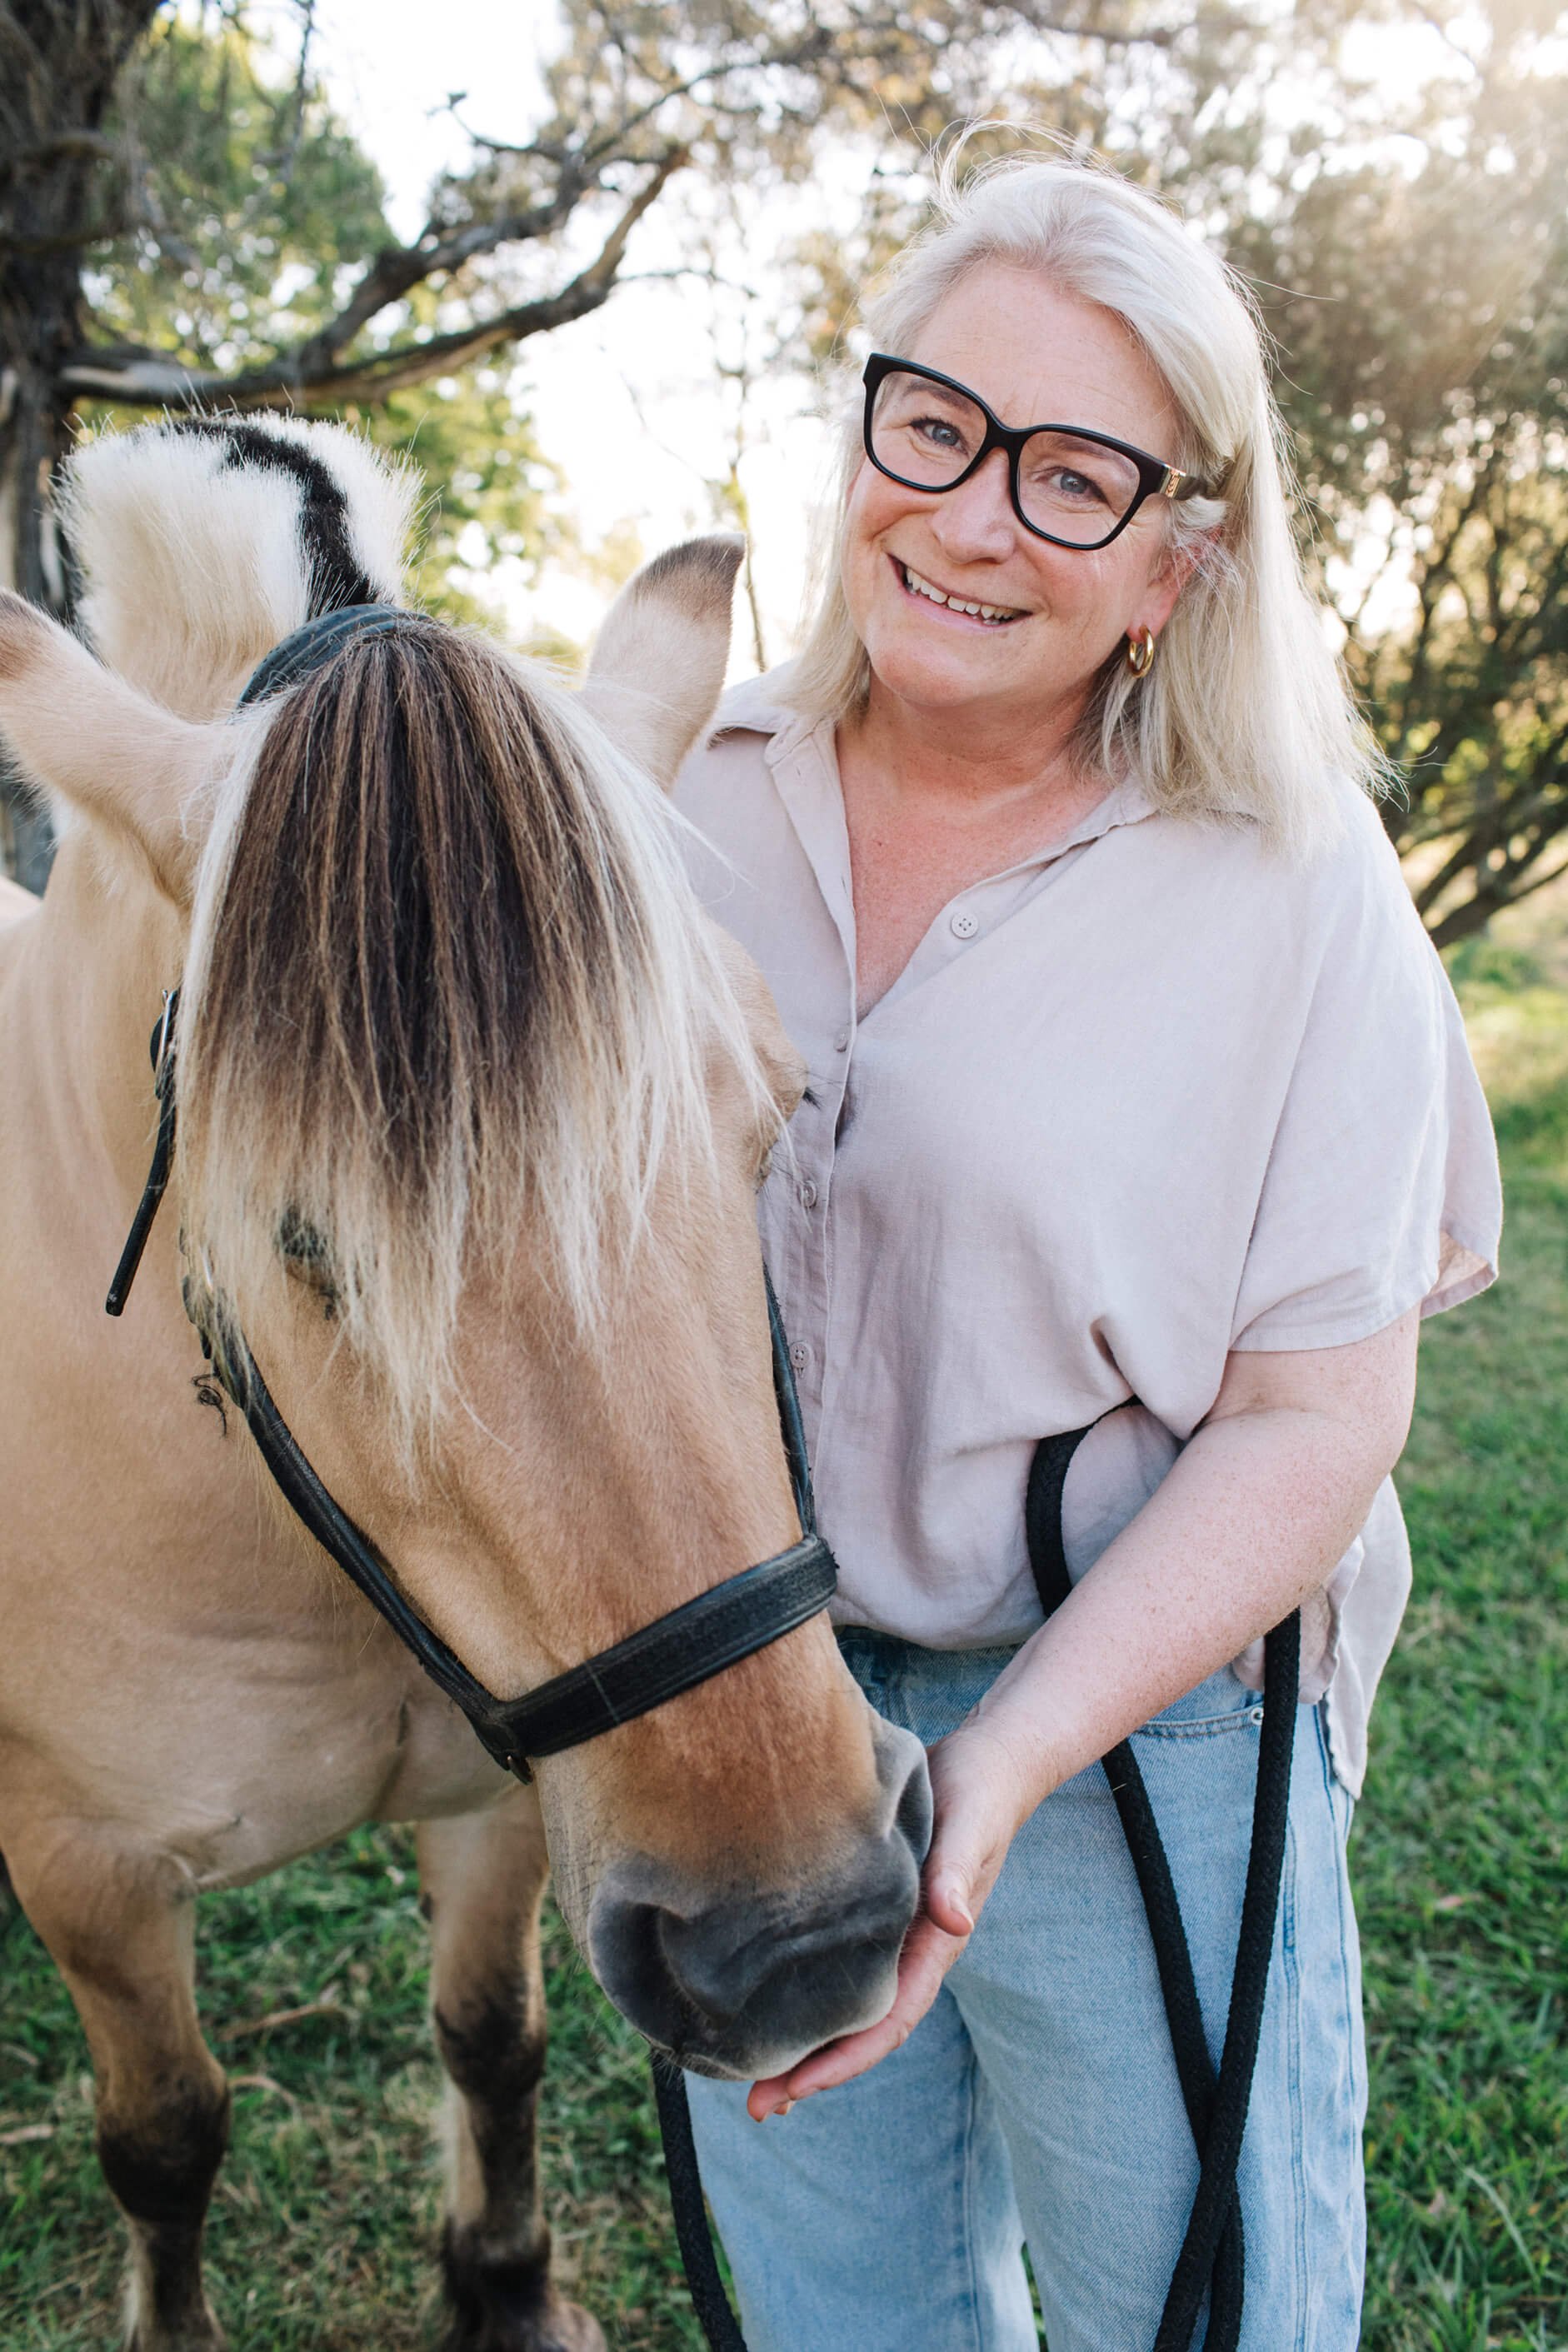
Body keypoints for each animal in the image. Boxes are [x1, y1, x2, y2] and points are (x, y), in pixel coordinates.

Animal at [0, 416, 930, 2352]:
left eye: (772, 1114)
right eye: (300, 1237)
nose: (799, 1937)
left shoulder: (523, 1787)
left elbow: (490, 2036)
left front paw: (502, 2284)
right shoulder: (85, 1868)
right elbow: (165, 2135)